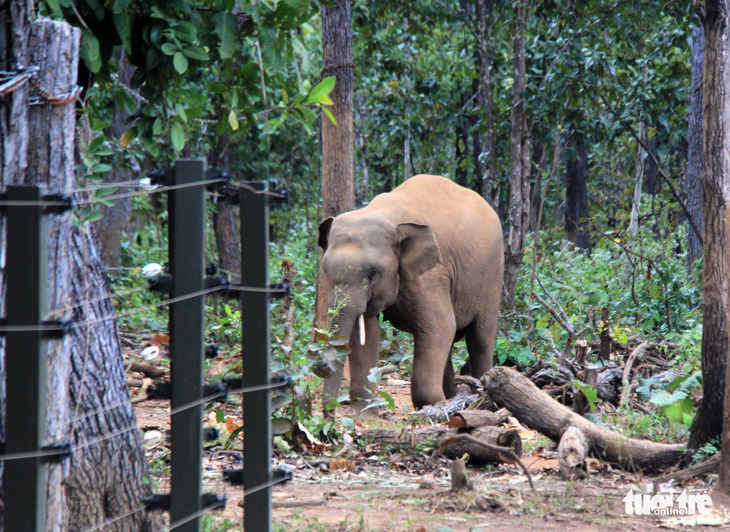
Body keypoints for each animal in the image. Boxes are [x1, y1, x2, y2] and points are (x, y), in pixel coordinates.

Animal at [316, 172, 504, 414]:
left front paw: (432, 406)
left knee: (480, 336)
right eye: (326, 271)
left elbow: (441, 325)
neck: (385, 213)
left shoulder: (431, 275)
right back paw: (452, 397)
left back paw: (481, 395)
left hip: (492, 275)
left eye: (372, 273)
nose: (329, 412)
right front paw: (364, 413)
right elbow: (365, 332)